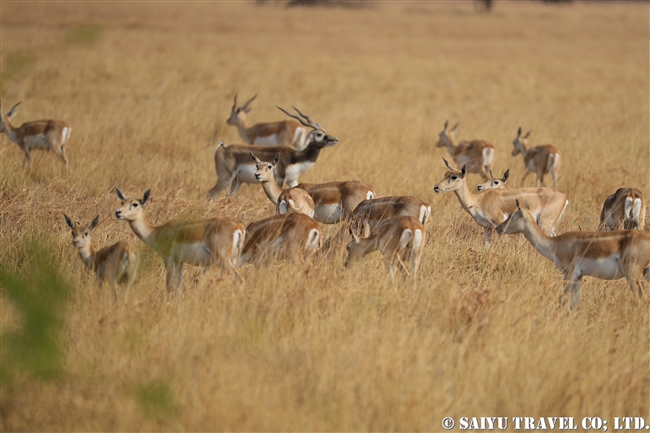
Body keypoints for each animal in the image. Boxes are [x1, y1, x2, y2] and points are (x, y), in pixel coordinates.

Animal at [112, 187, 244, 296]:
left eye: (135, 204)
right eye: (122, 202)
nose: (118, 212)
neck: (156, 232)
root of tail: (238, 226)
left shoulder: (168, 259)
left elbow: (169, 285)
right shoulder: (180, 261)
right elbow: (178, 286)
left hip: (223, 259)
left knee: (239, 279)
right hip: (233, 259)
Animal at [209, 106, 340, 197]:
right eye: (319, 134)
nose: (335, 139)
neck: (296, 157)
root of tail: (222, 148)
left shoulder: (292, 180)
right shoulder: (280, 178)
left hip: (236, 181)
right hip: (225, 178)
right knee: (210, 194)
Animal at [436, 158, 568, 243]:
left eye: (454, 177)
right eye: (445, 174)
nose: (436, 187)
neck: (479, 200)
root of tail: (564, 197)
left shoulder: (500, 224)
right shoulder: (487, 228)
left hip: (544, 224)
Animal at [496, 200, 648, 308]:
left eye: (512, 216)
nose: (498, 227)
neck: (556, 243)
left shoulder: (569, 274)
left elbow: (561, 300)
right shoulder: (579, 277)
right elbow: (574, 304)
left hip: (632, 275)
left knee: (641, 299)